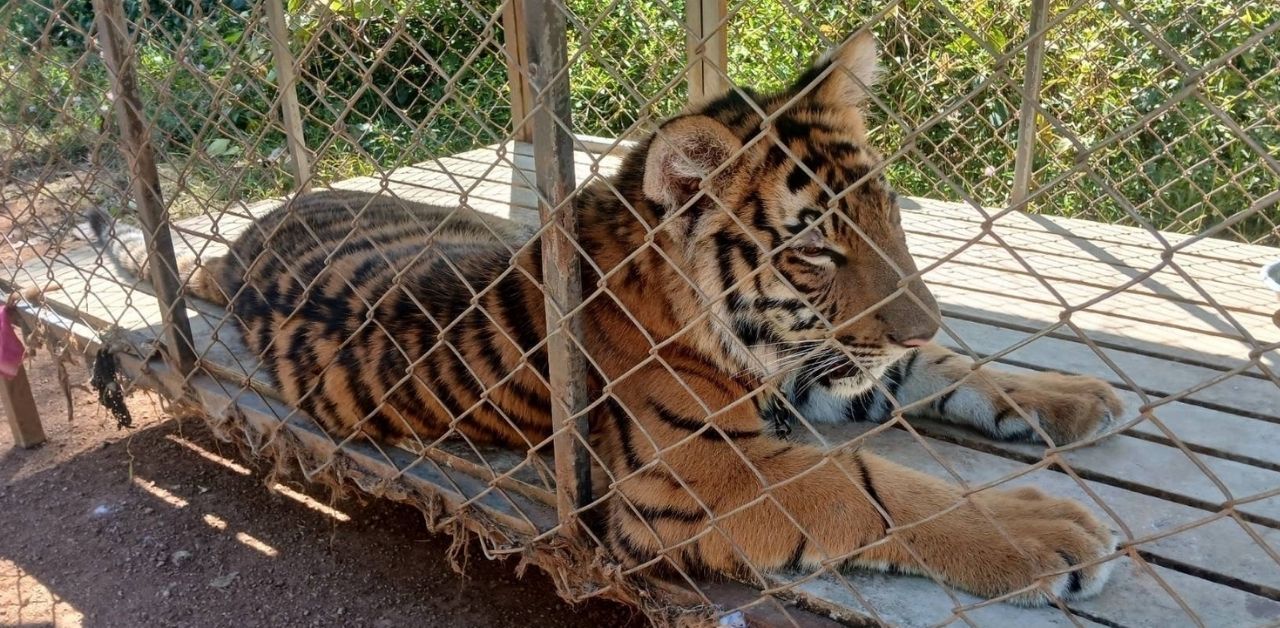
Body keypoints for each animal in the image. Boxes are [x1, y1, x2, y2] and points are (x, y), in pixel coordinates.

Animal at [89, 30, 1123, 606]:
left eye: (890, 213)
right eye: (817, 252)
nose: (922, 322)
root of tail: (251, 233)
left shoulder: (821, 367)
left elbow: (951, 375)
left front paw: (1076, 396)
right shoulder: (708, 472)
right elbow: (867, 488)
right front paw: (1051, 535)